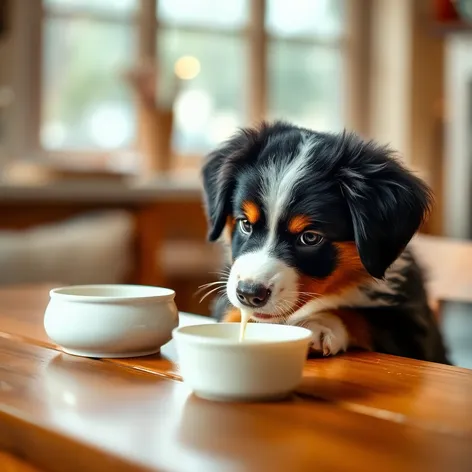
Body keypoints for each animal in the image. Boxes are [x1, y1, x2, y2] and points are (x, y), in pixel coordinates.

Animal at [199, 120, 450, 364]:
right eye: (245, 224)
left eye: (310, 237)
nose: (249, 293)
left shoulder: (410, 330)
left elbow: (359, 314)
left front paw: (317, 324)